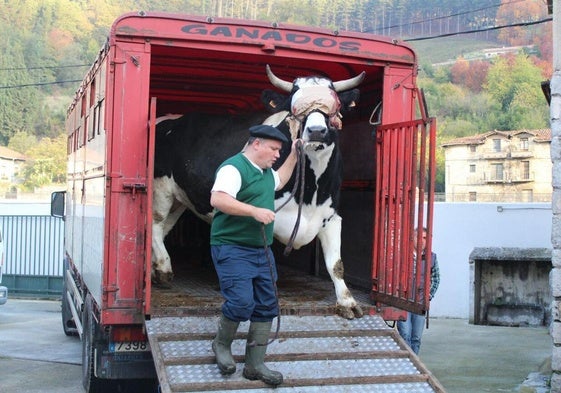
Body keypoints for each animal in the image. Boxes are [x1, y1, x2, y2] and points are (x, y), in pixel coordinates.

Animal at [151, 65, 366, 318]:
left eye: (335, 108)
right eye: (293, 106)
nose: (316, 131)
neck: (310, 192)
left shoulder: (331, 216)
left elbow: (336, 264)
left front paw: (347, 302)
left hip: (181, 198)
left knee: (164, 228)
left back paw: (155, 270)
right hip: (160, 189)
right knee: (155, 224)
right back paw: (164, 269)